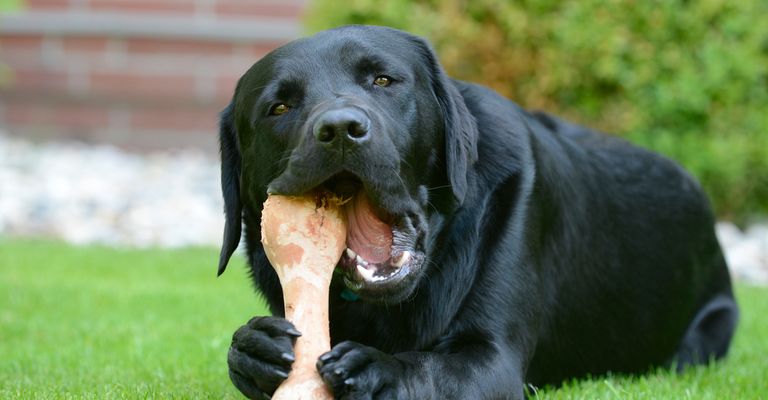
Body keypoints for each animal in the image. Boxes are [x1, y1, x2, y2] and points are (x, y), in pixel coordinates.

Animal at [216, 26, 736, 398]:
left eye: (382, 80)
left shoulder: (491, 359)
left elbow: (423, 368)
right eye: (279, 107)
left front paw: (375, 369)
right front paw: (255, 348)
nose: (340, 128)